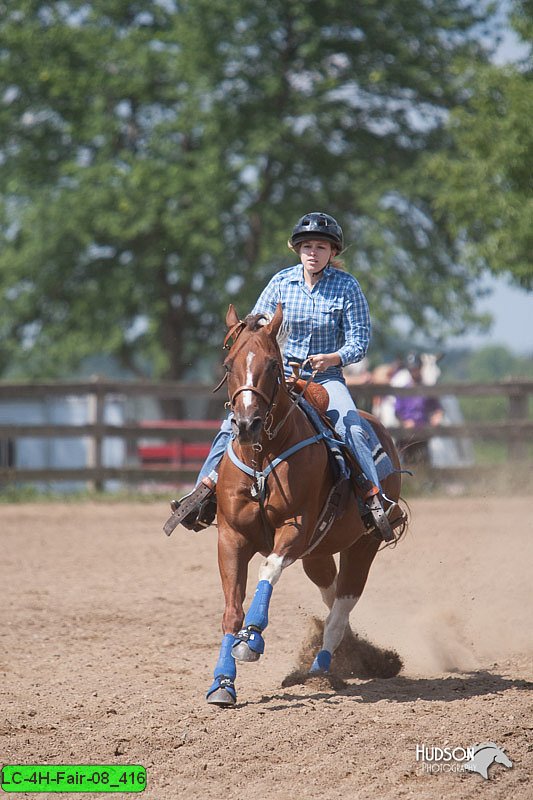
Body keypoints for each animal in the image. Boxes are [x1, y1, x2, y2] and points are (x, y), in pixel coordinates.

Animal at [206, 302, 406, 708]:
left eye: (271, 365)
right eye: (228, 365)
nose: (246, 424)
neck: (262, 458)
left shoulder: (295, 530)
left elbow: (268, 570)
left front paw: (252, 639)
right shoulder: (231, 538)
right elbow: (232, 610)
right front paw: (222, 683)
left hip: (364, 544)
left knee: (342, 605)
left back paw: (322, 667)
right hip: (319, 553)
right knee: (331, 596)